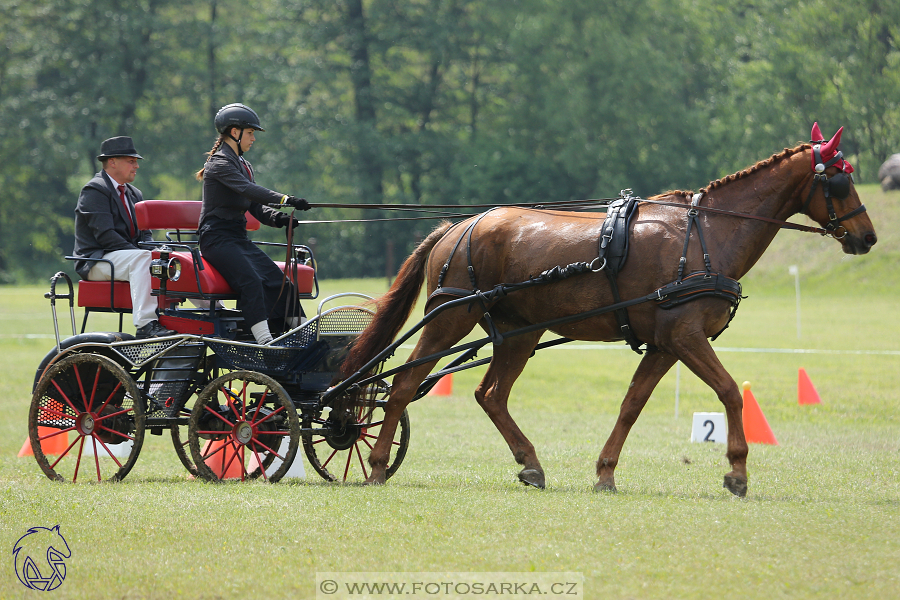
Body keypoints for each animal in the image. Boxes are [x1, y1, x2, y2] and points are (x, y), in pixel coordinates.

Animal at [342, 123, 876, 496]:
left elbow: (631, 405)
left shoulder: (665, 345)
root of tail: (458, 227)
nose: (868, 237)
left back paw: (530, 462)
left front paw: (605, 473)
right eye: (839, 183)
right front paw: (738, 472)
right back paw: (377, 466)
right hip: (453, 317)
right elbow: (729, 392)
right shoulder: (686, 336)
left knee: (491, 394)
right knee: (405, 384)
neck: (706, 235)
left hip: (520, 330)